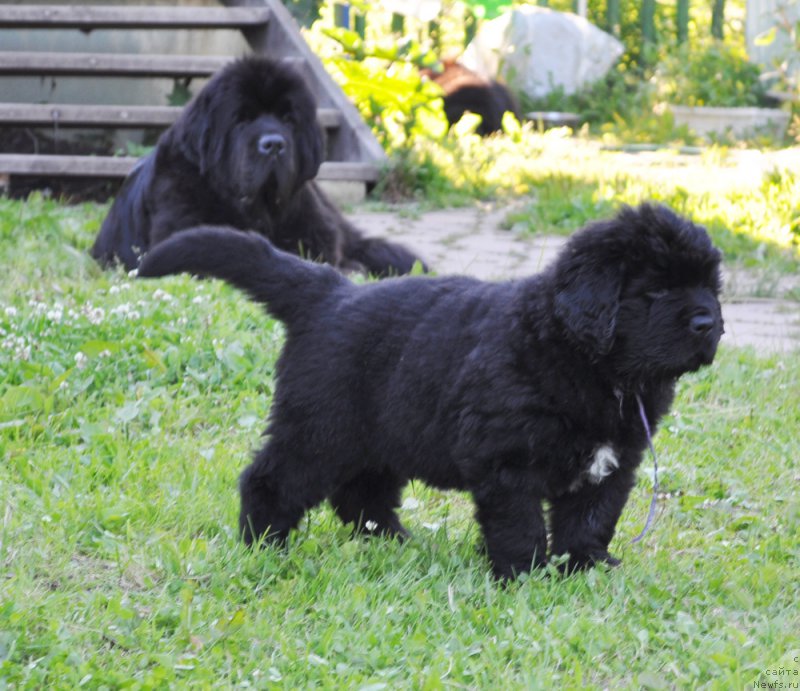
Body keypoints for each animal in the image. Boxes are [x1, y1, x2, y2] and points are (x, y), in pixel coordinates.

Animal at [138, 204, 724, 580]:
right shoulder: (507, 461)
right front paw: (527, 574)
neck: (588, 363)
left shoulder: (611, 464)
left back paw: (394, 542)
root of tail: (330, 293)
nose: (709, 323)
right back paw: (266, 546)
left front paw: (585, 568)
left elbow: (591, 519)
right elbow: (519, 523)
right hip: (320, 428)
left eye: (711, 286)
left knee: (362, 494)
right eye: (656, 291)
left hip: (376, 436)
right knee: (270, 479)